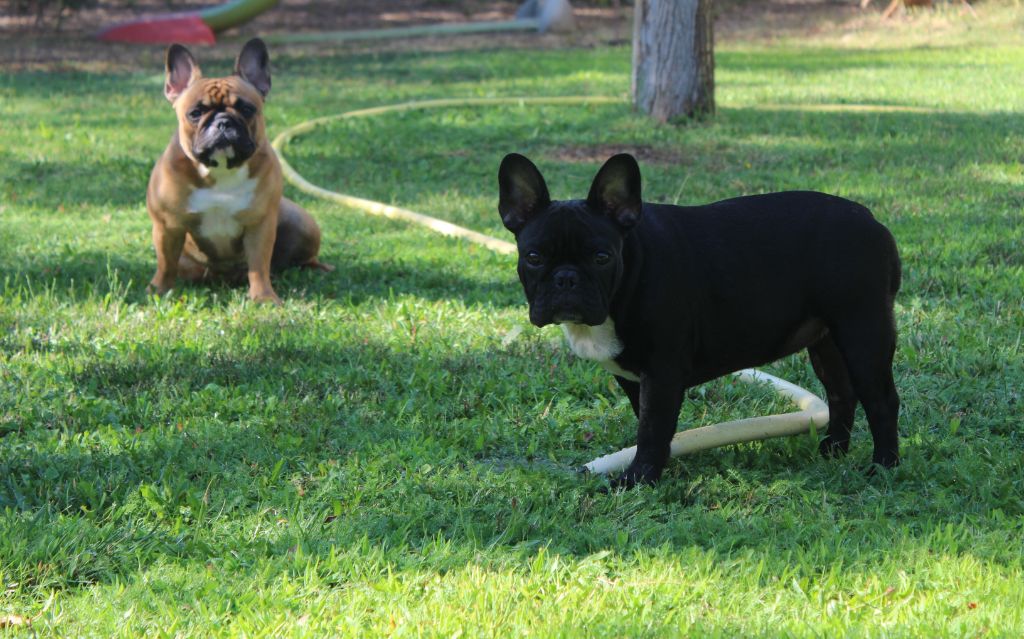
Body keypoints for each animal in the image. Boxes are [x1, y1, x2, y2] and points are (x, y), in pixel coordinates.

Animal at [499, 152, 901, 487]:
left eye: (601, 257)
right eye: (533, 257)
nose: (566, 278)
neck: (630, 271)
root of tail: (871, 220)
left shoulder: (662, 372)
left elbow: (652, 427)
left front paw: (637, 479)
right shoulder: (636, 380)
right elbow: (651, 424)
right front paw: (657, 466)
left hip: (863, 332)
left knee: (881, 400)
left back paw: (883, 467)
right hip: (827, 340)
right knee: (841, 392)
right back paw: (833, 450)